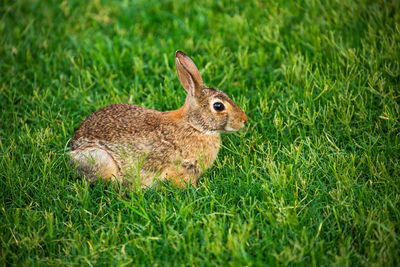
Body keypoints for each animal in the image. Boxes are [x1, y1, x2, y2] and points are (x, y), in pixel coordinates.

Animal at [70, 50, 248, 188]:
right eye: (218, 106)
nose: (244, 120)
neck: (195, 126)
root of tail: (72, 148)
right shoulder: (179, 168)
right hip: (102, 159)